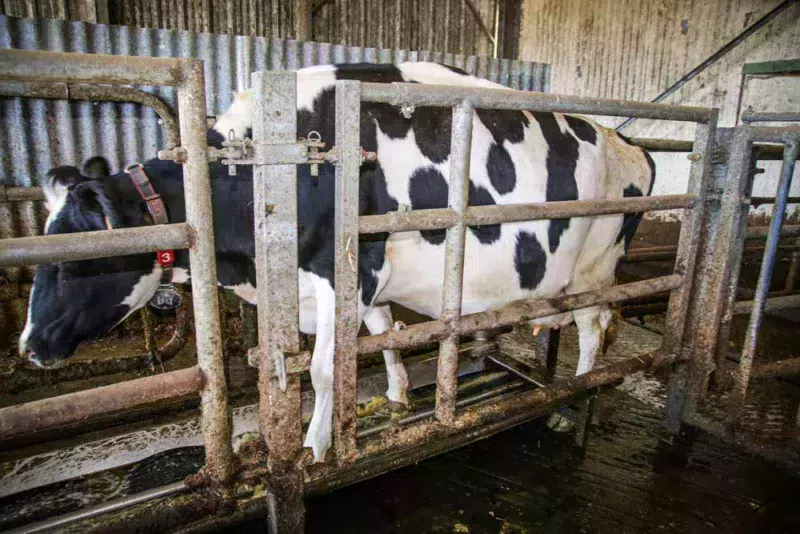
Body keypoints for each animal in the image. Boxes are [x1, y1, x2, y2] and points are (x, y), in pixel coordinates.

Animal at [18, 62, 654, 462]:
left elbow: (326, 368)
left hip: (596, 266)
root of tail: (628, 143)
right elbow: (384, 335)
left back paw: (576, 397)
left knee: (595, 325)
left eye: (72, 260)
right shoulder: (360, 277)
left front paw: (316, 444)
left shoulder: (348, 267)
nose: (27, 345)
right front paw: (396, 397)